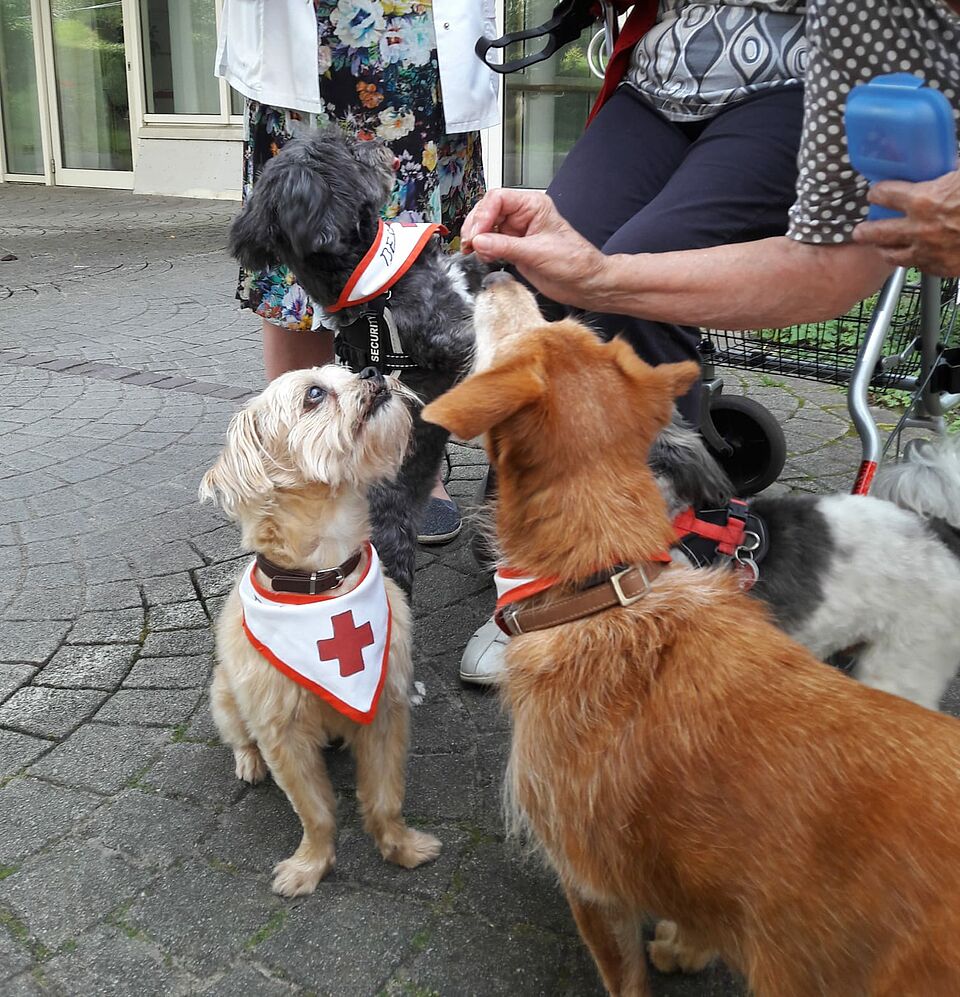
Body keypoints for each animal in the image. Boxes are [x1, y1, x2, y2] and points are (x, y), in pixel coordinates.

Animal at [204, 364, 444, 896]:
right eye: (314, 393)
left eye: (347, 371)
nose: (373, 368)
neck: (324, 577)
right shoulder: (284, 736)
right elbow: (315, 811)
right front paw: (310, 865)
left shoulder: (385, 713)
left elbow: (386, 797)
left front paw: (401, 847)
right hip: (225, 696)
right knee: (239, 737)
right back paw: (248, 762)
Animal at [227, 123, 488, 592]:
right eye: (344, 149)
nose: (376, 142)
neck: (367, 278)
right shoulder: (449, 333)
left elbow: (474, 264)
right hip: (389, 545)